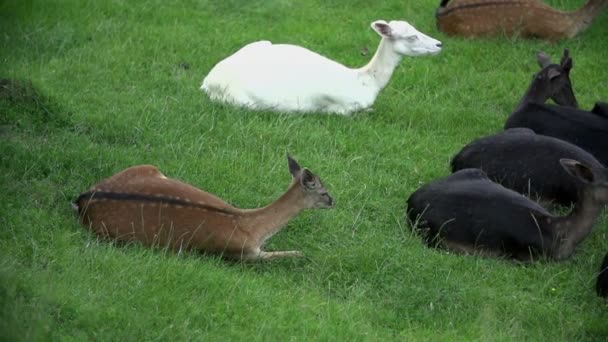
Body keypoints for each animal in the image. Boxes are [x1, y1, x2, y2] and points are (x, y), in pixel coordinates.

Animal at [75, 154, 338, 260]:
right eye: (324, 191)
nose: (334, 201)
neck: (251, 227)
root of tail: (83, 199)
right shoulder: (243, 253)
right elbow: (284, 255)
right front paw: (304, 254)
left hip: (147, 167)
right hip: (119, 236)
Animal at [202, 20, 444, 115]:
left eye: (416, 28)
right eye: (412, 36)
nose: (439, 44)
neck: (365, 82)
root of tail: (207, 82)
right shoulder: (341, 109)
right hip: (243, 102)